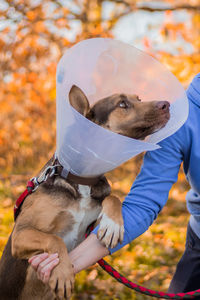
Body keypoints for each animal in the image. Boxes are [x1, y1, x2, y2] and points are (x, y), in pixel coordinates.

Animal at [0, 85, 170, 300]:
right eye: (122, 104)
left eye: (138, 99)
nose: (167, 104)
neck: (82, 181)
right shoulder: (21, 234)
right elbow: (54, 239)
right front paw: (63, 273)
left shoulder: (89, 229)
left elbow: (113, 197)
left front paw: (113, 225)